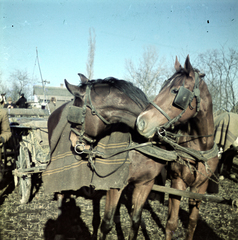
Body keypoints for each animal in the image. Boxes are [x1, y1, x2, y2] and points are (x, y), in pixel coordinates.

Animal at [46, 74, 165, 239]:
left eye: (75, 114)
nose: (72, 139)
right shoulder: (114, 186)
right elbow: (107, 224)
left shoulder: (145, 184)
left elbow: (135, 221)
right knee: (60, 194)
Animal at [136, 55, 219, 239]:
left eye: (175, 91)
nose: (141, 121)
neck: (198, 149)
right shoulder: (177, 182)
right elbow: (171, 223)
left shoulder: (200, 187)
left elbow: (193, 223)